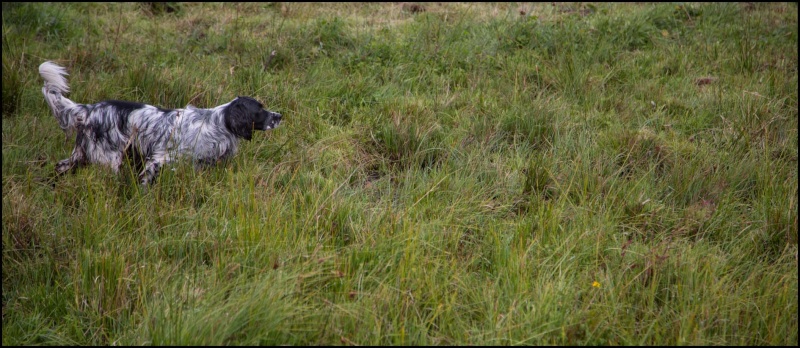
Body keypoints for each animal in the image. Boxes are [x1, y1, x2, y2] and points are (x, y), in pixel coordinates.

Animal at [41, 60, 284, 185]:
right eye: (259, 109)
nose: (280, 116)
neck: (218, 123)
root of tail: (88, 110)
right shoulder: (159, 159)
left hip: (81, 156)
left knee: (60, 167)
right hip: (110, 160)